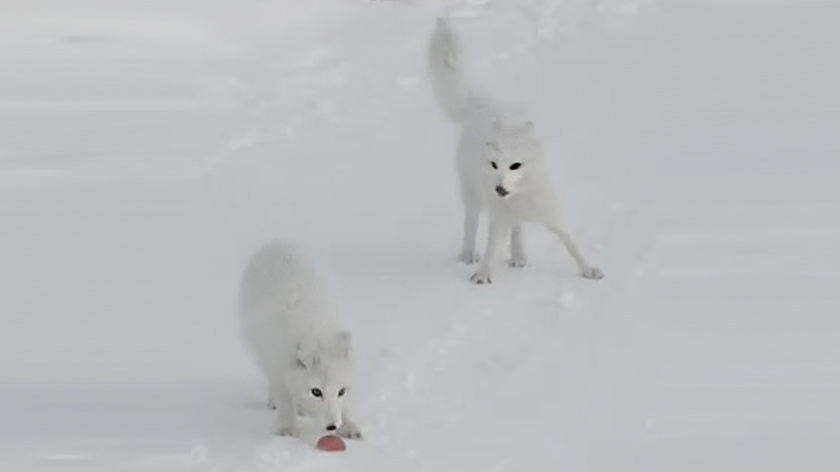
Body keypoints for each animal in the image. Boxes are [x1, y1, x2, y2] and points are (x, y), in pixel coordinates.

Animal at [240, 242, 364, 440]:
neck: (315, 330)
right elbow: (285, 398)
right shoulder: (278, 365)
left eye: (341, 391)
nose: (332, 427)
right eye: (316, 391)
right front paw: (286, 428)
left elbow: (345, 406)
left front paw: (349, 425)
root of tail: (276, 244)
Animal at [426, 16, 604, 284]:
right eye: (494, 165)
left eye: (515, 165)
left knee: (517, 229)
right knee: (471, 222)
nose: (499, 188)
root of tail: (483, 104)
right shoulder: (499, 216)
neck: (520, 198)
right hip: (471, 192)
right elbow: (491, 247)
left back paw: (519, 256)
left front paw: (589, 268)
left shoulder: (550, 210)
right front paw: (482, 274)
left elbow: (570, 241)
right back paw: (467, 254)